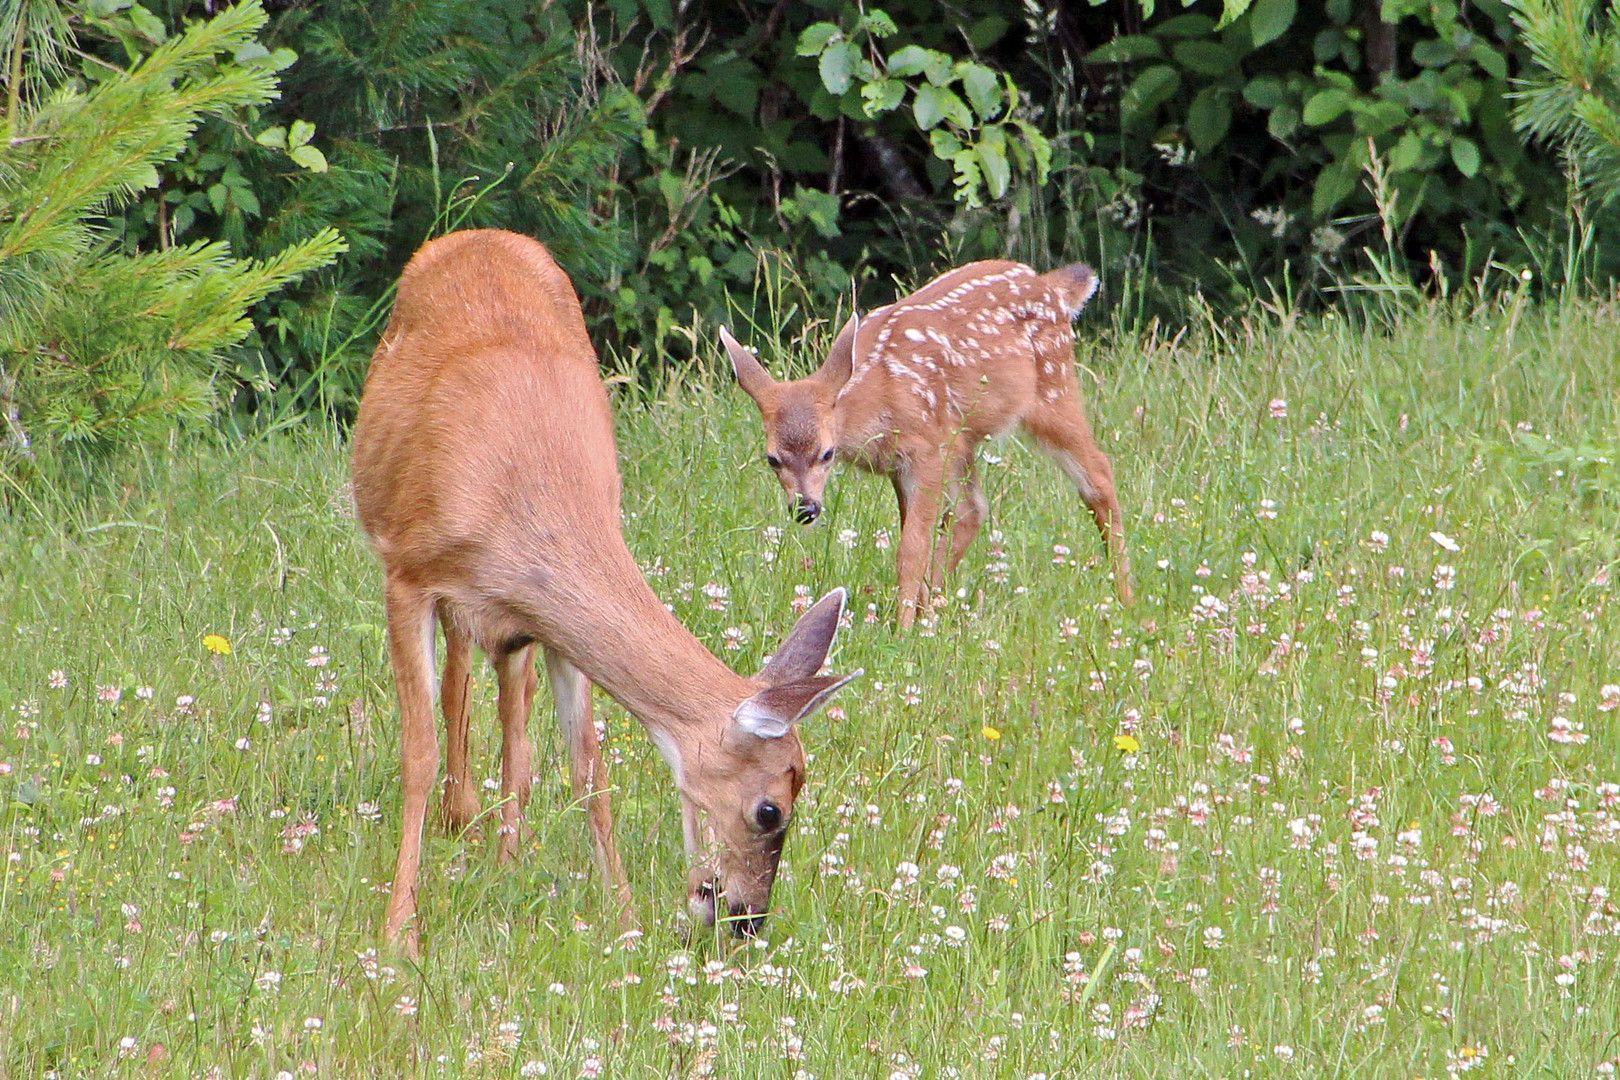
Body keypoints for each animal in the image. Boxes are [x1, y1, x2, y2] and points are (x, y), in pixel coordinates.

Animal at [354, 233, 861, 958]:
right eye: (772, 809)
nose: (744, 919)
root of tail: (479, 235)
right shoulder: (409, 576)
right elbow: (417, 753)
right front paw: (400, 932)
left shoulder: (548, 626)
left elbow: (587, 765)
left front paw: (622, 918)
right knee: (459, 683)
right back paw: (461, 817)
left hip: (517, 630)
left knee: (511, 720)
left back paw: (501, 849)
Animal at [729, 259, 1134, 628]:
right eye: (772, 459)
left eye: (827, 453)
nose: (805, 508)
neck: (880, 398)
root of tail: (1049, 286)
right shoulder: (903, 464)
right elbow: (919, 534)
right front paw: (917, 618)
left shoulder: (925, 450)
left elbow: (911, 548)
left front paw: (902, 631)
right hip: (963, 438)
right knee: (973, 509)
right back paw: (936, 608)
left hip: (1053, 388)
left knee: (1098, 474)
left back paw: (1125, 597)